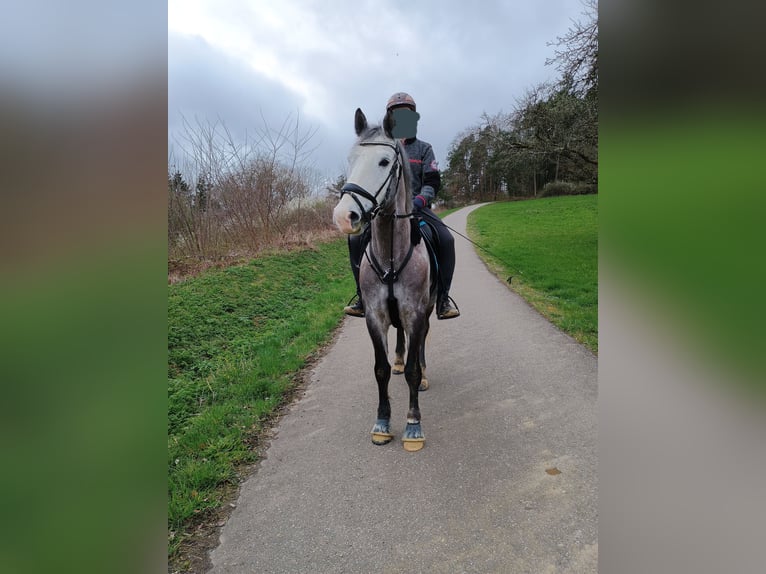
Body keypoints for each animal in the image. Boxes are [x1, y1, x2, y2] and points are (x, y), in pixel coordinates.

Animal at [332, 106, 436, 452]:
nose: (344, 216)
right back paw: (400, 359)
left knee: (421, 345)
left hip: (428, 310)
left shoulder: (415, 312)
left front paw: (413, 425)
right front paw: (382, 423)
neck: (391, 253)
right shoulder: (375, 315)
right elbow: (381, 369)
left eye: (384, 162)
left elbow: (414, 371)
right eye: (350, 159)